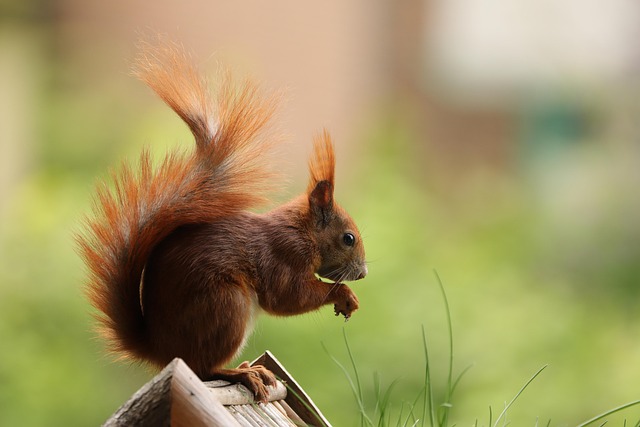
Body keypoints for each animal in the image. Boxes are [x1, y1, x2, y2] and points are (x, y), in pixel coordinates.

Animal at [76, 40, 367, 402]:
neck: (304, 233)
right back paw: (241, 373)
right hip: (226, 307)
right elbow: (288, 296)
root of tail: (161, 349)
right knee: (203, 369)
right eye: (348, 238)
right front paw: (343, 295)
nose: (363, 273)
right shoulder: (284, 255)